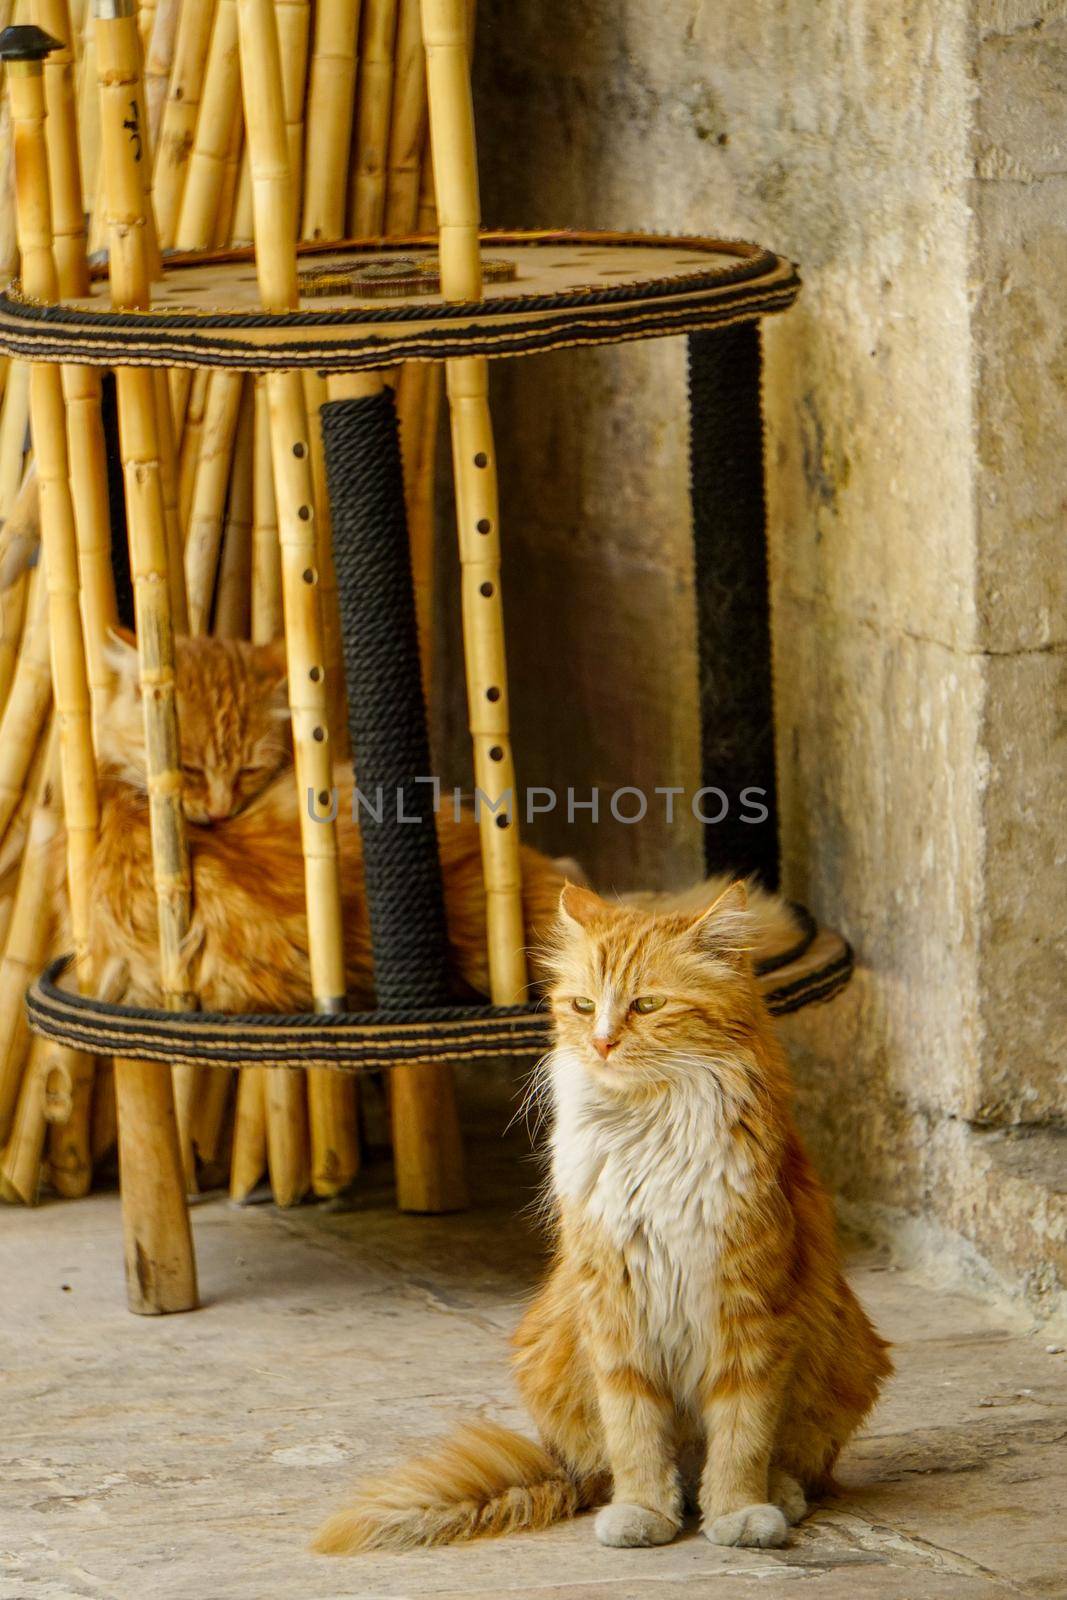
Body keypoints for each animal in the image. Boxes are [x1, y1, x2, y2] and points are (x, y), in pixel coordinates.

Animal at [315, 883, 895, 1555]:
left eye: (647, 1004)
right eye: (583, 1005)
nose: (602, 1042)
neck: (649, 1126)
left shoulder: (748, 1308)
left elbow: (741, 1434)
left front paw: (737, 1511)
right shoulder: (614, 1308)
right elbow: (634, 1431)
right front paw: (643, 1510)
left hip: (846, 1350)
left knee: (794, 1464)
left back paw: (775, 1496)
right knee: (604, 1472)